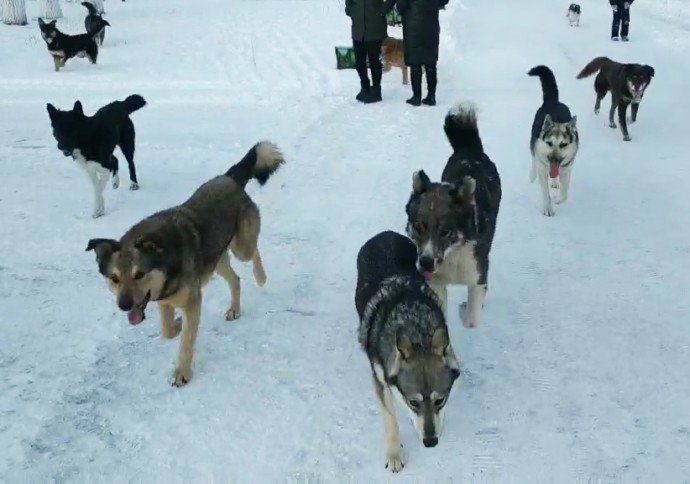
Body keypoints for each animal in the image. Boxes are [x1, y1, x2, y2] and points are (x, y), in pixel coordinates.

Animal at [84, 142, 284, 388]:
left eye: (140, 274)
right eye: (114, 279)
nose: (124, 305)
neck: (168, 263)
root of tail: (229, 177)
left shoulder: (192, 302)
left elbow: (186, 342)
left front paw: (182, 373)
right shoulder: (163, 300)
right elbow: (168, 331)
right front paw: (177, 325)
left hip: (241, 247)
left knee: (252, 252)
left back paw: (261, 276)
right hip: (215, 260)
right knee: (235, 279)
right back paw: (235, 310)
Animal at [354, 230, 456, 472]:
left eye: (440, 400)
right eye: (413, 402)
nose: (431, 442)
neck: (415, 327)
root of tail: (385, 233)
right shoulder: (380, 382)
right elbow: (391, 420)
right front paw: (394, 454)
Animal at [404, 100, 500, 330]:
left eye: (446, 231)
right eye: (418, 227)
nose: (426, 263)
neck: (453, 254)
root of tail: (470, 149)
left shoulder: (477, 275)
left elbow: (471, 319)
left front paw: (465, 310)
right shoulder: (436, 282)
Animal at [528, 64, 576, 216]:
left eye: (563, 144)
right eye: (549, 143)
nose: (554, 159)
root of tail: (553, 101)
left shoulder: (567, 168)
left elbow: (565, 193)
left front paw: (558, 199)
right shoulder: (543, 169)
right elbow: (545, 192)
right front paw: (548, 208)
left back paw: (554, 181)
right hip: (533, 139)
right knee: (533, 157)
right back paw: (532, 175)